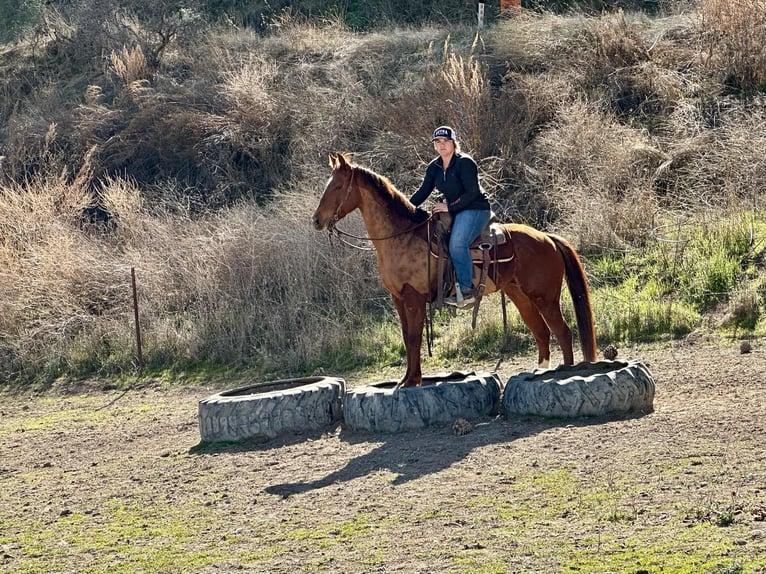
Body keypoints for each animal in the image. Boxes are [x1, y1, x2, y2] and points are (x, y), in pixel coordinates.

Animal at [312, 153, 597, 388]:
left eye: (337, 186)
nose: (316, 221)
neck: (401, 236)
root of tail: (547, 238)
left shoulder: (414, 297)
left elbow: (414, 338)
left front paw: (412, 381)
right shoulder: (398, 299)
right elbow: (406, 338)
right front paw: (406, 380)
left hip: (545, 296)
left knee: (562, 332)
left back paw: (563, 373)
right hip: (520, 295)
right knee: (542, 332)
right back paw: (541, 372)